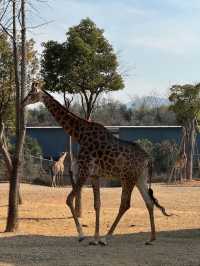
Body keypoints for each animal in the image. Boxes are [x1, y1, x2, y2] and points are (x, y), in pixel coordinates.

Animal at [23, 82, 170, 246]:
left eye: (31, 93)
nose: (22, 103)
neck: (79, 134)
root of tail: (147, 159)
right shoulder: (94, 175)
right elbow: (97, 204)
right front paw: (94, 238)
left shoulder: (84, 171)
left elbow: (69, 200)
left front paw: (82, 235)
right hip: (139, 178)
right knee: (149, 202)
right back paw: (151, 238)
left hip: (128, 178)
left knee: (125, 204)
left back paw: (107, 238)